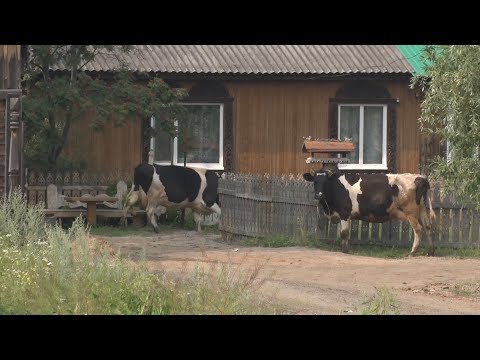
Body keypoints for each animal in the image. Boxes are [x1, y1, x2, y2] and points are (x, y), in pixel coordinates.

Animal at [306, 167, 436, 256]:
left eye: (325, 182)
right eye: (314, 182)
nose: (319, 195)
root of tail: (421, 177)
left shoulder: (344, 212)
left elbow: (343, 233)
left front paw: (344, 251)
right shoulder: (346, 215)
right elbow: (345, 233)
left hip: (411, 211)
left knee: (418, 229)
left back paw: (413, 252)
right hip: (422, 208)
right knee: (428, 227)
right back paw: (430, 251)